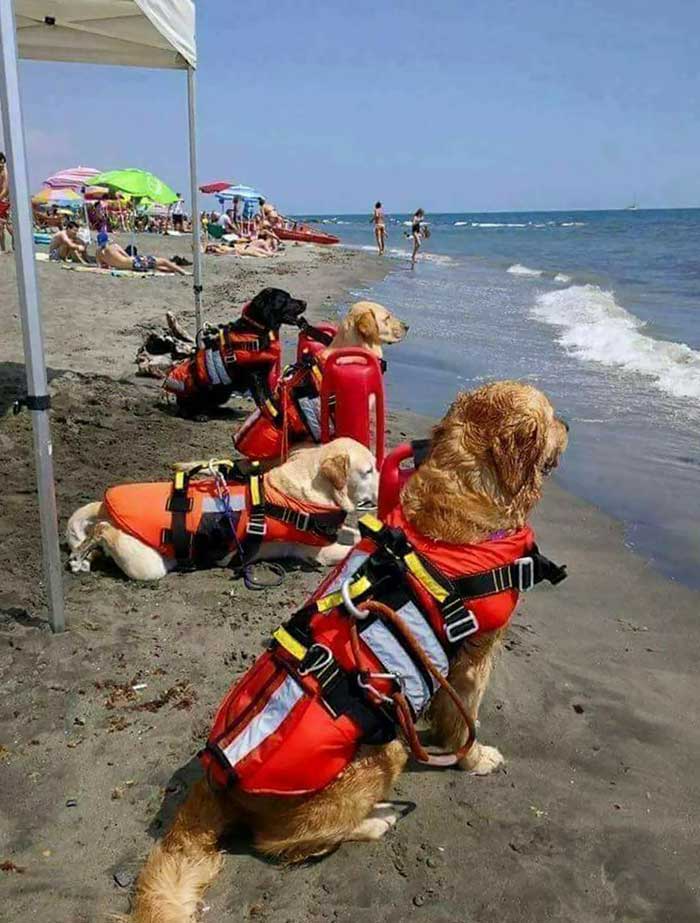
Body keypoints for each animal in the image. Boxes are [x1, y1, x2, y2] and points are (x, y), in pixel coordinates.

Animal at [67, 438, 378, 580]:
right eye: (368, 471)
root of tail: (104, 506)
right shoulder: (319, 552)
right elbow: (353, 545)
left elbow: (353, 532)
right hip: (148, 565)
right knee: (102, 530)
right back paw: (85, 549)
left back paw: (84, 557)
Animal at [120, 378, 568, 920]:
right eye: (552, 415)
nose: (570, 425)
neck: (463, 492)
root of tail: (215, 780)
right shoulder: (477, 655)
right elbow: (467, 721)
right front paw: (475, 758)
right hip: (386, 751)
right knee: (282, 843)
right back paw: (375, 819)